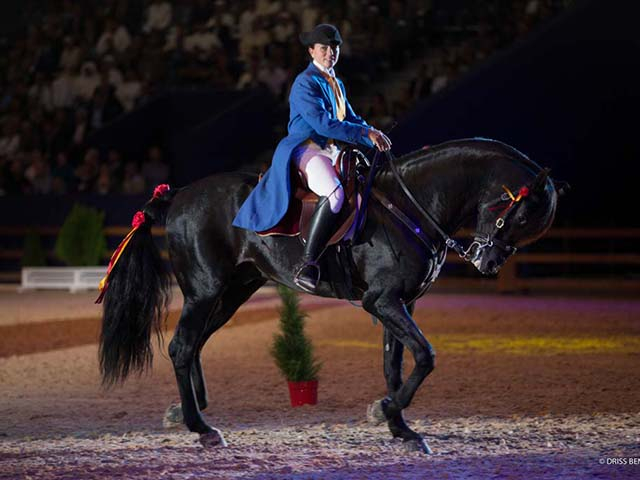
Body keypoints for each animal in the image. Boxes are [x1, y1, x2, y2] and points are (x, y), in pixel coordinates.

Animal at [99, 138, 559, 454]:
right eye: (518, 215)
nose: (488, 263)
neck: (412, 203)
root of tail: (178, 196)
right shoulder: (383, 301)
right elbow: (425, 356)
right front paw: (389, 412)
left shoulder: (400, 303)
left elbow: (394, 365)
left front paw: (400, 427)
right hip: (205, 291)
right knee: (181, 346)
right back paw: (202, 428)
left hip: (232, 292)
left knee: (193, 345)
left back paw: (188, 413)